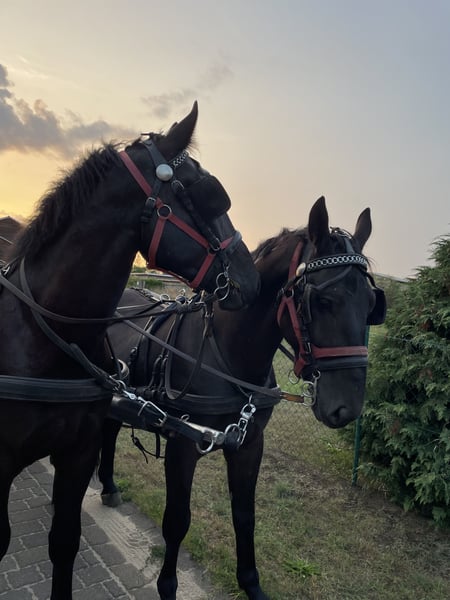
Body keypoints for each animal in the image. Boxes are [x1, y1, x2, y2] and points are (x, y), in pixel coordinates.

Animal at [98, 196, 387, 600]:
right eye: (323, 300)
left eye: (372, 304)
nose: (346, 408)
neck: (227, 354)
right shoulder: (183, 445)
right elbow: (177, 520)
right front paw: (168, 586)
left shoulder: (249, 444)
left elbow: (245, 516)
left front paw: (251, 583)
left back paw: (108, 486)